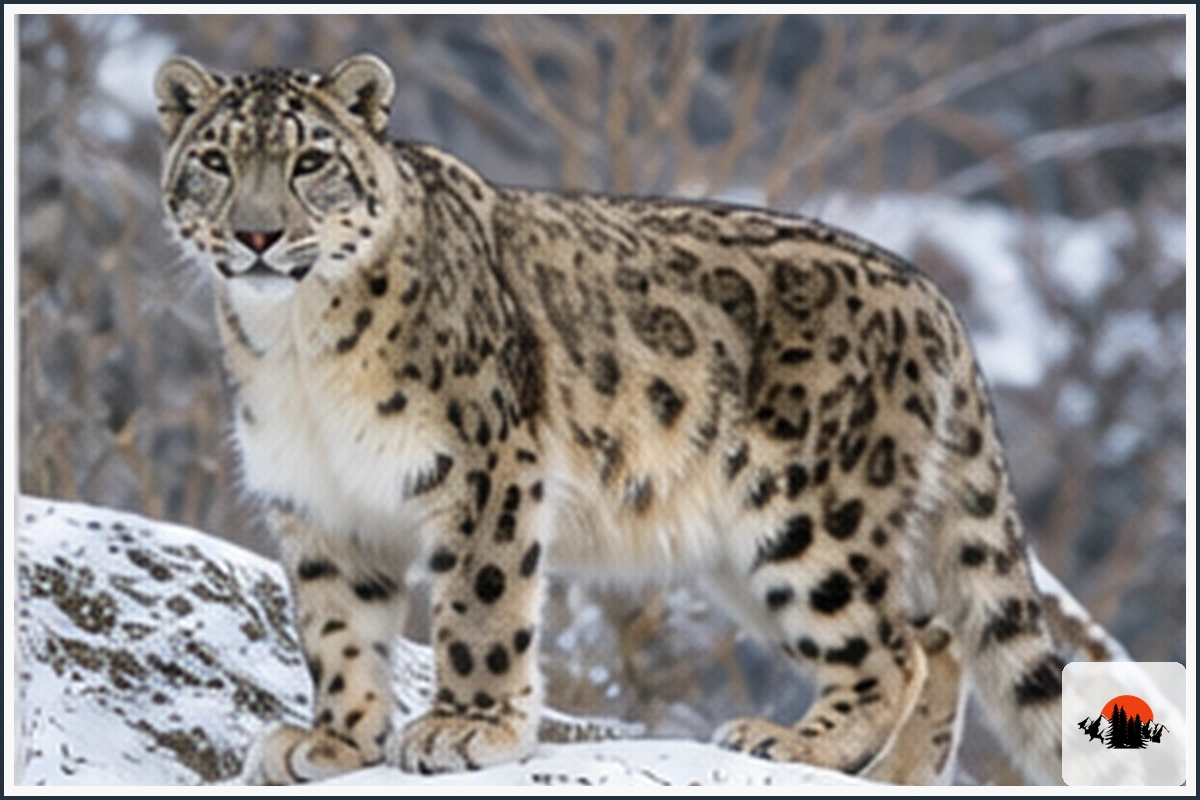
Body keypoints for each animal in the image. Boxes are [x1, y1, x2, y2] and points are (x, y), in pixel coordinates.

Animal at [153, 53, 1115, 785]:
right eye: (217, 161)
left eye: (311, 161)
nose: (258, 236)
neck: (297, 350)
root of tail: (932, 297)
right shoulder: (316, 503)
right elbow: (338, 632)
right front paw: (334, 741)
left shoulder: (485, 469)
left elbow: (479, 606)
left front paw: (469, 726)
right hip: (749, 557)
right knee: (938, 632)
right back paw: (893, 776)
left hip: (813, 516)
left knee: (892, 646)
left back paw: (794, 743)